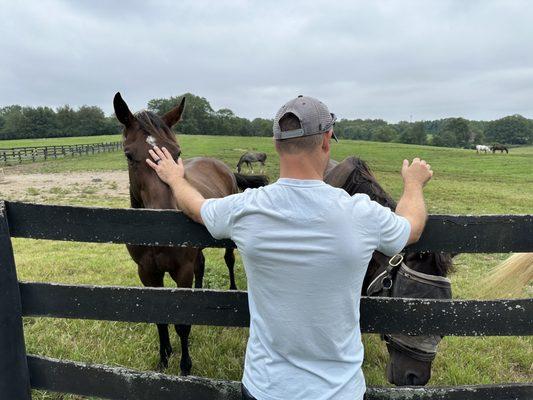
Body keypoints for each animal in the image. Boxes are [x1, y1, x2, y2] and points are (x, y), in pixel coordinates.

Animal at [114, 93, 268, 376]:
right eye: (129, 155)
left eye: (177, 153)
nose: (164, 218)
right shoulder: (147, 273)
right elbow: (160, 319)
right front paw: (164, 358)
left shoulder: (181, 271)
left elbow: (182, 322)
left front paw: (185, 367)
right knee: (201, 265)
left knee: (228, 260)